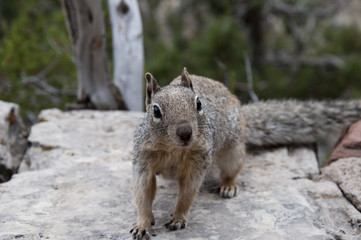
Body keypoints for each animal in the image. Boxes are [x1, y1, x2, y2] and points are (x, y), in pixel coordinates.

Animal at [129, 67, 360, 238]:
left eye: (198, 103)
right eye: (156, 111)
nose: (185, 132)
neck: (174, 150)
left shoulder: (198, 164)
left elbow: (187, 193)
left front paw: (178, 217)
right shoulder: (143, 163)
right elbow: (143, 193)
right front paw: (142, 224)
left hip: (233, 152)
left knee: (231, 170)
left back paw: (228, 186)